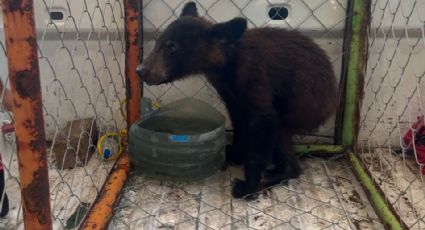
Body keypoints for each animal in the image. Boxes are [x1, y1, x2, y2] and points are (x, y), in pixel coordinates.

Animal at [136, 1, 334, 199]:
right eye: (158, 41)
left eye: (172, 47)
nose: (140, 70)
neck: (226, 64)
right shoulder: (230, 93)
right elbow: (239, 121)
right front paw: (236, 154)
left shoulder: (254, 78)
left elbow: (263, 118)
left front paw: (248, 185)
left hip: (305, 108)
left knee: (280, 133)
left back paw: (278, 174)